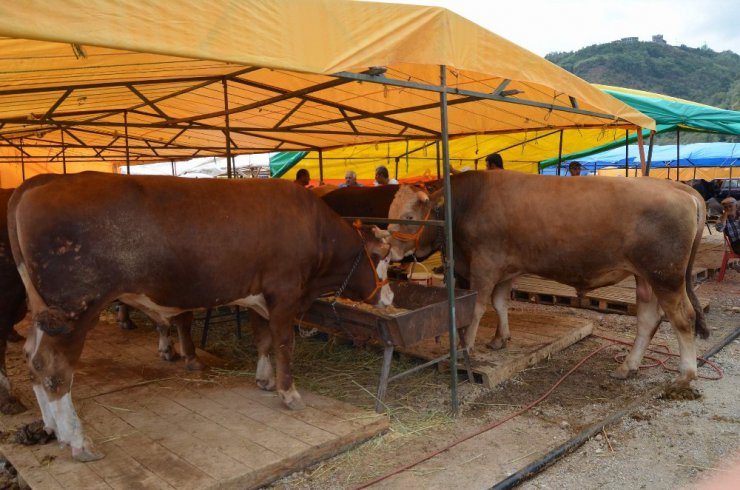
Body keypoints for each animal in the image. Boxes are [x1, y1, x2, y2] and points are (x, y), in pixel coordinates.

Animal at [7, 171, 394, 460]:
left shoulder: (258, 298)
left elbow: (264, 341)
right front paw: (289, 393)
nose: (389, 295)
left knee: (32, 358)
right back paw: (77, 440)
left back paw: (53, 429)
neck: (313, 229)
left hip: (45, 313)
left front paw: (264, 380)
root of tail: (42, 181)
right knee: (54, 367)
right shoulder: (284, 295)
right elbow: (284, 343)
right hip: (73, 311)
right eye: (382, 256)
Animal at [384, 170, 708, 388]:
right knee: (648, 320)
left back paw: (685, 374)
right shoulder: (507, 266)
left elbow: (476, 309)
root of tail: (677, 187)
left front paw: (466, 349)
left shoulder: (484, 266)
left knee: (683, 318)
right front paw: (500, 339)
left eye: (410, 215)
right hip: (647, 278)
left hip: (666, 276)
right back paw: (628, 366)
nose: (391, 251)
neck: (468, 202)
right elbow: (500, 303)